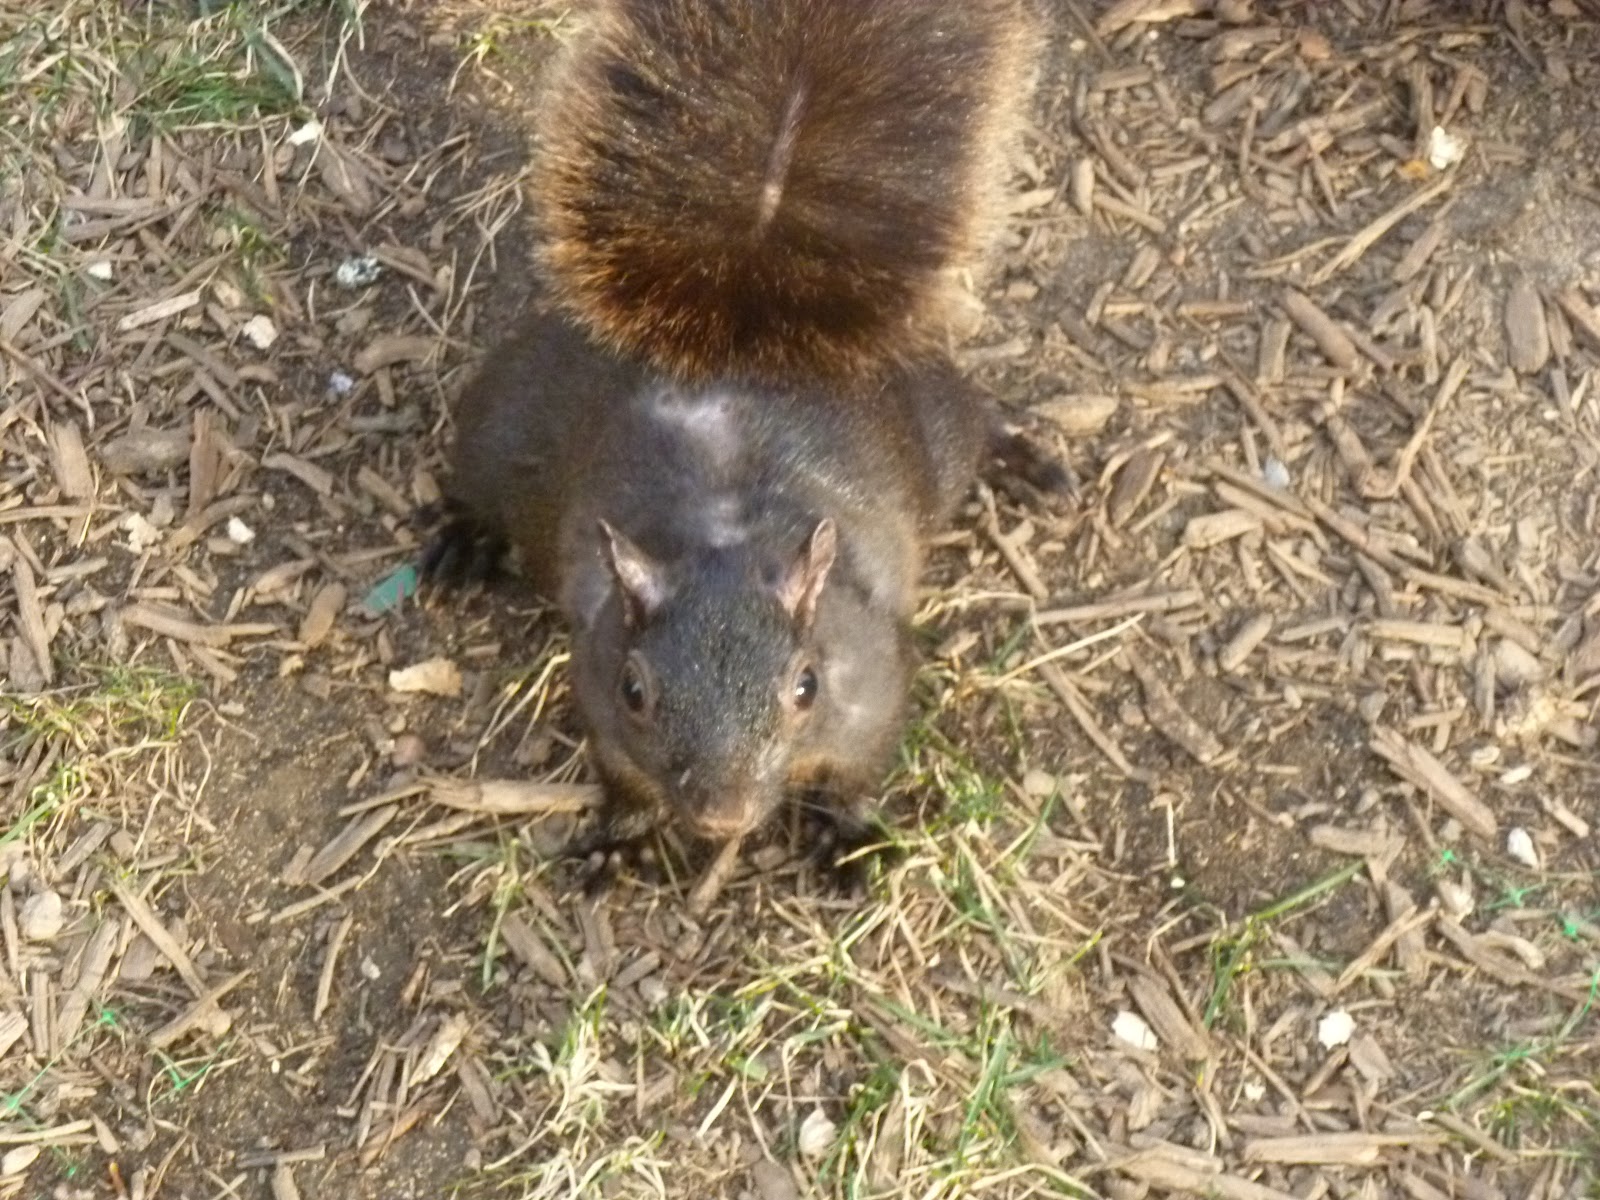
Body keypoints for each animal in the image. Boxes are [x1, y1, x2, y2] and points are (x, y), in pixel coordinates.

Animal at [424, 0, 1059, 872]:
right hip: (500, 418)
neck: (721, 535)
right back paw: (462, 543)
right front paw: (620, 843)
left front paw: (849, 838)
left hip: (933, 424)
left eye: (806, 686)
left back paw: (1024, 460)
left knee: (975, 419)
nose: (722, 817)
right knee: (476, 484)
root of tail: (740, 333)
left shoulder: (874, 681)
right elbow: (621, 777)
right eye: (636, 691)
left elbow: (858, 771)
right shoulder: (599, 688)